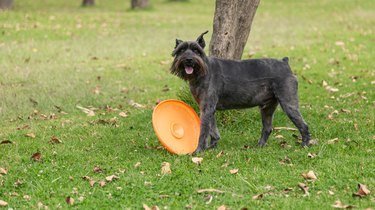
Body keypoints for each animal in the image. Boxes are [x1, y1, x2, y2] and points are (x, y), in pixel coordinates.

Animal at [170, 30, 312, 153]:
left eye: (196, 50)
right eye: (181, 50)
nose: (189, 60)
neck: (202, 71)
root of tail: (284, 62)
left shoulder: (207, 108)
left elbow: (204, 131)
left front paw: (199, 151)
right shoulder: (209, 109)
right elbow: (213, 131)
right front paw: (212, 147)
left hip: (289, 105)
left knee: (303, 125)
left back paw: (304, 145)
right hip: (267, 108)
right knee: (267, 128)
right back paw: (259, 146)